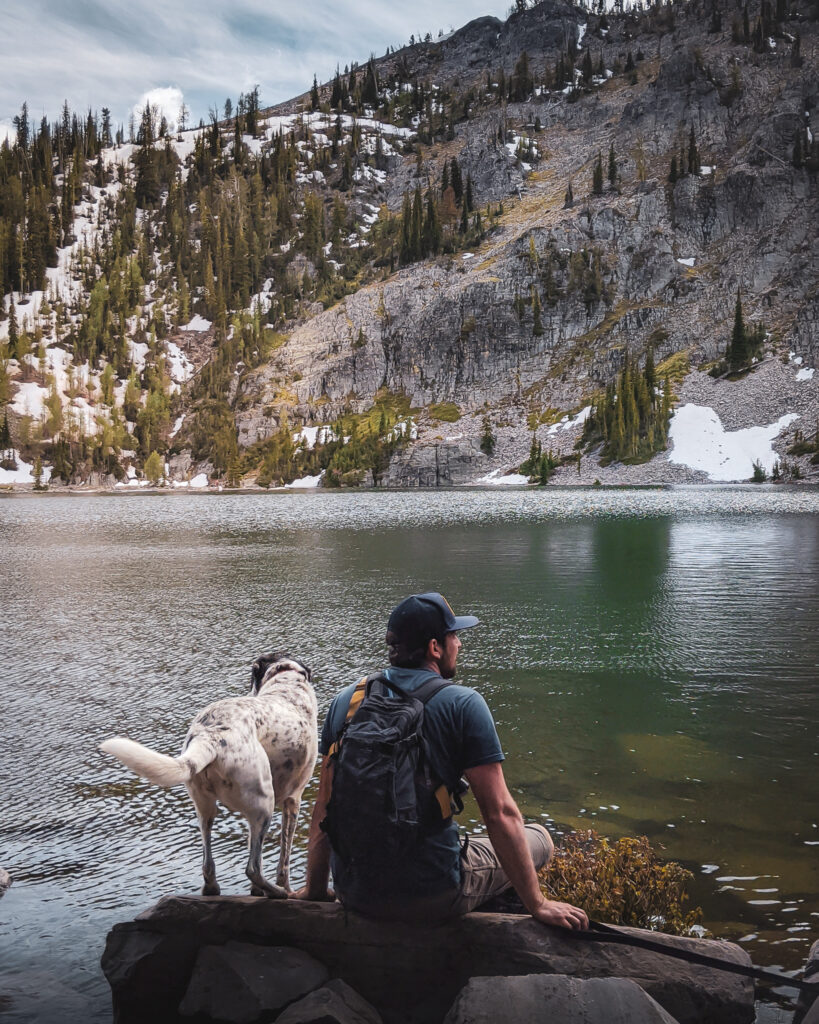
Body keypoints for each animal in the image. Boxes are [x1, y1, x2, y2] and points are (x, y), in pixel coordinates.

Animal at [100, 655, 317, 897]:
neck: (287, 684)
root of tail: (212, 735)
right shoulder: (293, 801)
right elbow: (284, 860)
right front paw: (284, 887)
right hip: (264, 806)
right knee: (253, 868)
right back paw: (278, 892)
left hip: (205, 809)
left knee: (208, 864)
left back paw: (213, 888)